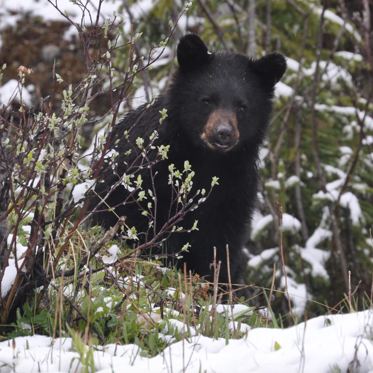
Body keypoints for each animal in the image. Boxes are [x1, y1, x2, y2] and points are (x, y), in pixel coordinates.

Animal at [88, 33, 286, 286]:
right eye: (206, 101)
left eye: (242, 107)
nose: (223, 133)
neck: (205, 159)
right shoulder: (146, 169)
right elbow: (130, 213)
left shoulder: (235, 188)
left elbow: (221, 241)